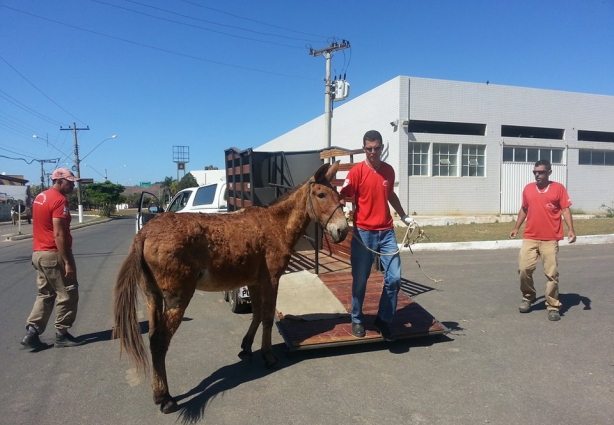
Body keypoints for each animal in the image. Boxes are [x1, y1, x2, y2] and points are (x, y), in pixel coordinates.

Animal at [113, 159, 348, 410]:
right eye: (321, 194)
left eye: (338, 195)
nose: (342, 230)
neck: (275, 224)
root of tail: (144, 234)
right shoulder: (272, 280)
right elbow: (267, 317)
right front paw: (268, 356)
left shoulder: (254, 282)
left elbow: (256, 315)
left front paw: (246, 347)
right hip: (178, 299)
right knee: (159, 341)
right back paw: (165, 398)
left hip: (153, 297)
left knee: (153, 337)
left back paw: (159, 392)